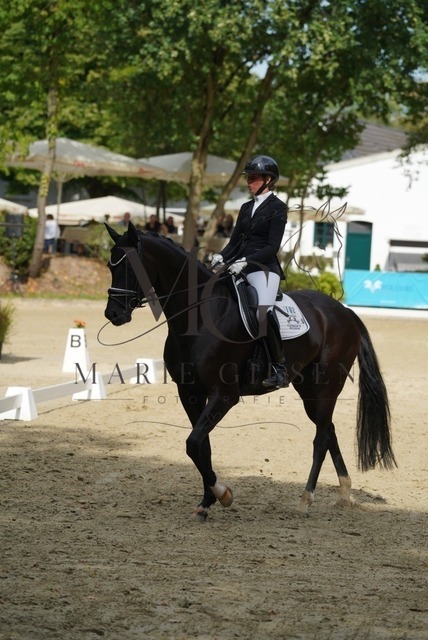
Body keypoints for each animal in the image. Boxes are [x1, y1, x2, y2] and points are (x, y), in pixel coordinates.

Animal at [104, 222, 396, 519]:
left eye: (130, 265)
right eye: (110, 265)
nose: (113, 314)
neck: (199, 318)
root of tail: (345, 311)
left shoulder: (224, 395)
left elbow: (194, 443)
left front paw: (223, 494)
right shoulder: (190, 393)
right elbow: (202, 446)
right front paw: (206, 502)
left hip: (326, 386)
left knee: (321, 438)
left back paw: (306, 499)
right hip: (309, 389)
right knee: (329, 430)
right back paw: (345, 492)